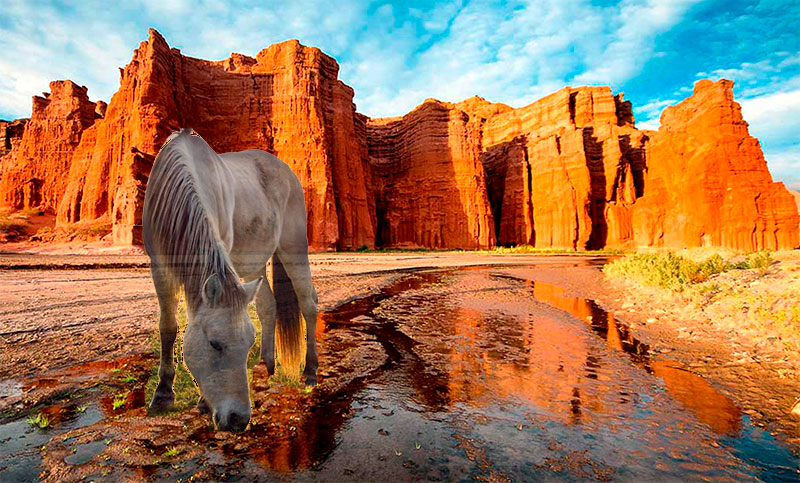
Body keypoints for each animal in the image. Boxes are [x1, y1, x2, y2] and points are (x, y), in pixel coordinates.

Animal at [142, 128, 318, 432]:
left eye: (247, 344)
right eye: (215, 344)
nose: (239, 419)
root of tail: (287, 172)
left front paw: (201, 401)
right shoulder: (160, 268)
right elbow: (168, 327)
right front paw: (163, 393)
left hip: (294, 249)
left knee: (308, 303)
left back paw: (310, 371)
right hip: (254, 267)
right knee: (268, 306)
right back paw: (266, 365)